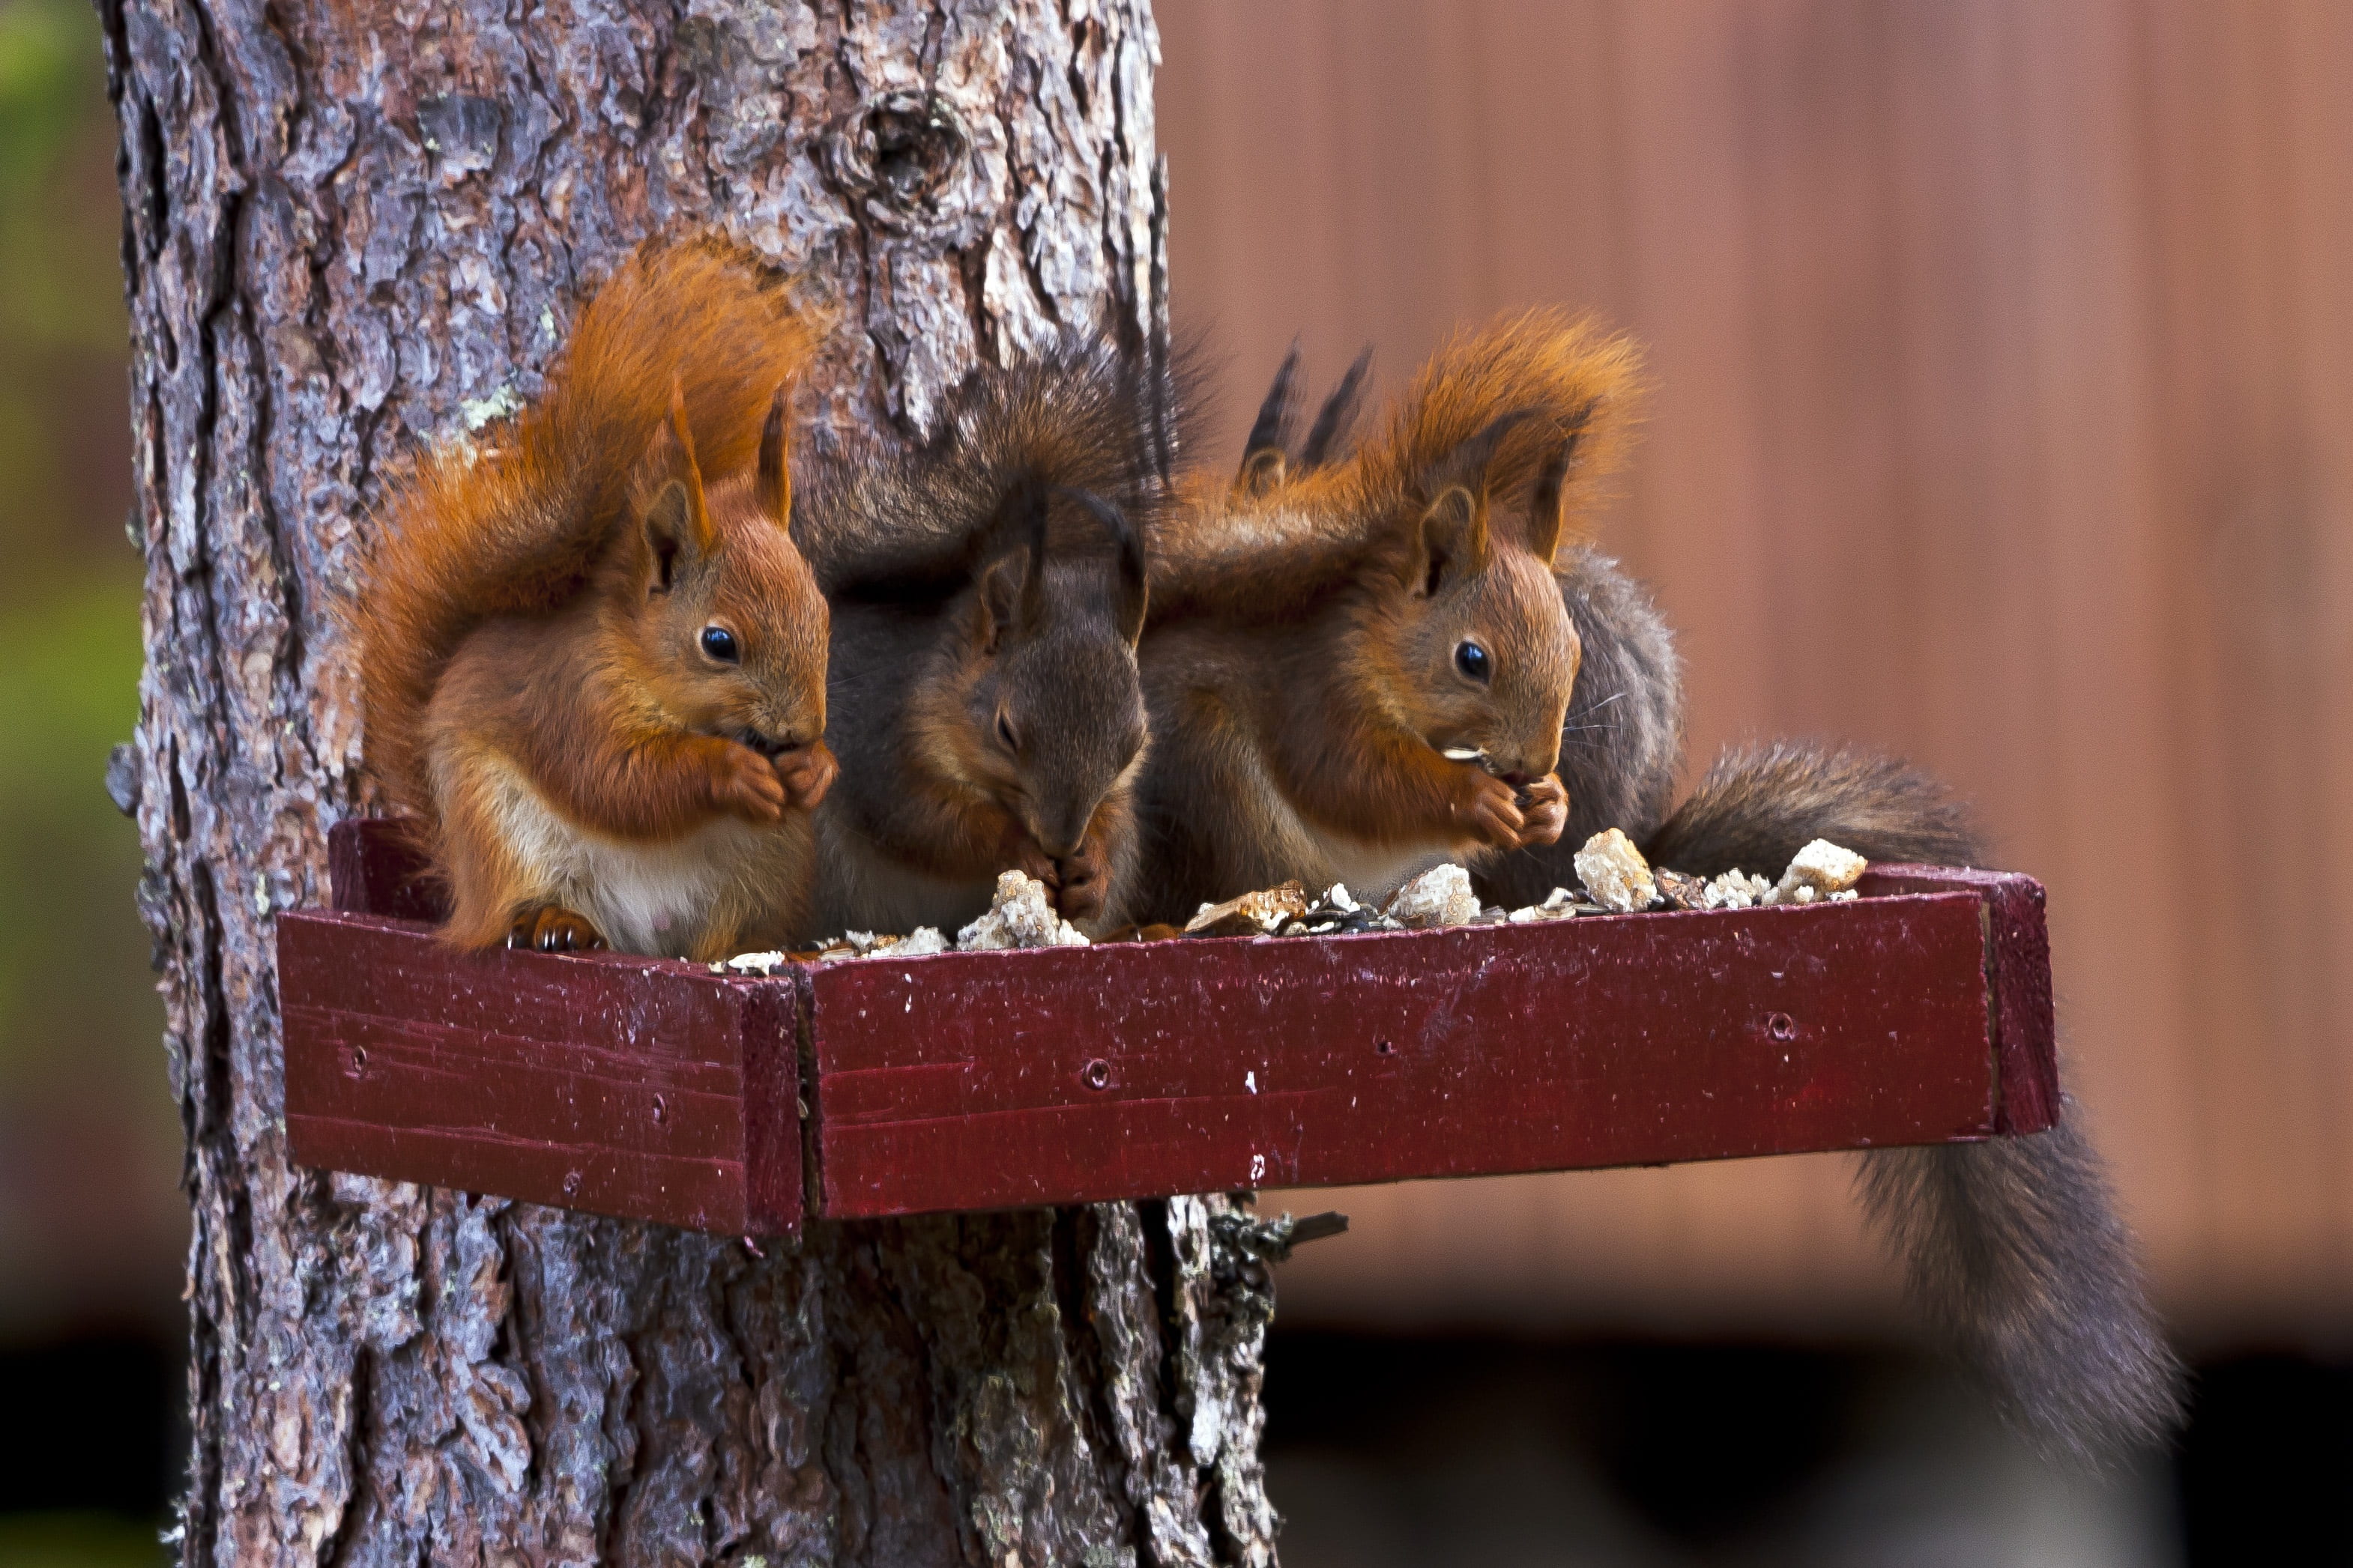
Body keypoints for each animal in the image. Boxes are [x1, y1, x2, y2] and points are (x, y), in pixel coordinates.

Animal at [352, 237, 837, 960]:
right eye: (719, 643)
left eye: (823, 613)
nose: (804, 730)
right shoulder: (570, 697)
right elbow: (616, 780)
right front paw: (730, 770)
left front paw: (816, 768)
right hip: (500, 834)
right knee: (519, 908)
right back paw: (557, 922)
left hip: (768, 865)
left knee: (730, 936)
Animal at [792, 332, 1175, 937]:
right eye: (1006, 731)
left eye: (1134, 742)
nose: (1061, 842)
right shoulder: (881, 749)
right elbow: (931, 826)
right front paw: (1019, 847)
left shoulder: (1118, 793)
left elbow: (1112, 821)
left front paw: (1093, 869)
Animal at [1127, 313, 1641, 924]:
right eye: (1472, 659)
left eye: (1575, 649)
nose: (1535, 762)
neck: (1379, 648)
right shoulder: (1317, 691)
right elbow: (1353, 781)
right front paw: (1476, 798)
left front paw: (1552, 803)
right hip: (1211, 768)